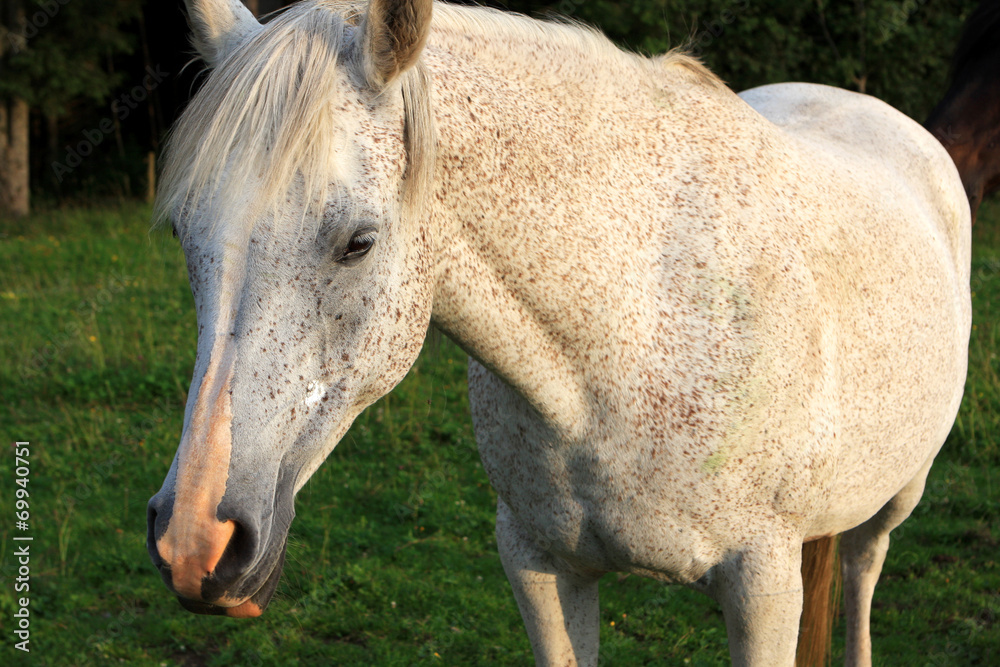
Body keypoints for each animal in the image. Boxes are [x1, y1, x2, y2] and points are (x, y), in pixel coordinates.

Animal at [146, 1, 971, 665]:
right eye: (184, 232)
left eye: (357, 242)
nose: (194, 540)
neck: (632, 333)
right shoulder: (539, 562)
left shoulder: (762, 583)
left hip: (897, 495)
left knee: (864, 570)